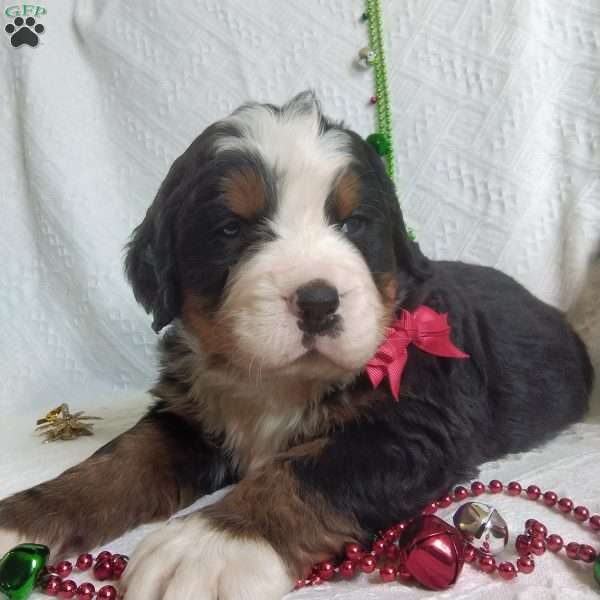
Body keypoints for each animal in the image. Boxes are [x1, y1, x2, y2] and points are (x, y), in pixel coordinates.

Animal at [0, 91, 592, 596]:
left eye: (353, 224)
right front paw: (23, 519)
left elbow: (303, 472)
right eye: (231, 230)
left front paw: (210, 545)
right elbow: (115, 463)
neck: (275, 382)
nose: (318, 302)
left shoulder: (412, 425)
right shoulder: (186, 417)